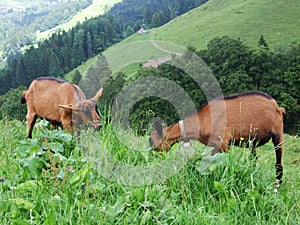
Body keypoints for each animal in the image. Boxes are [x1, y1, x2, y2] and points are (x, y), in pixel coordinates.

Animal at [149, 90, 286, 184]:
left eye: (154, 144)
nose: (153, 159)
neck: (204, 119)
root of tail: (277, 107)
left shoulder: (224, 143)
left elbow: (226, 163)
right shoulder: (214, 145)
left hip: (278, 134)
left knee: (278, 165)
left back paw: (276, 187)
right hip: (253, 141)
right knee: (253, 159)